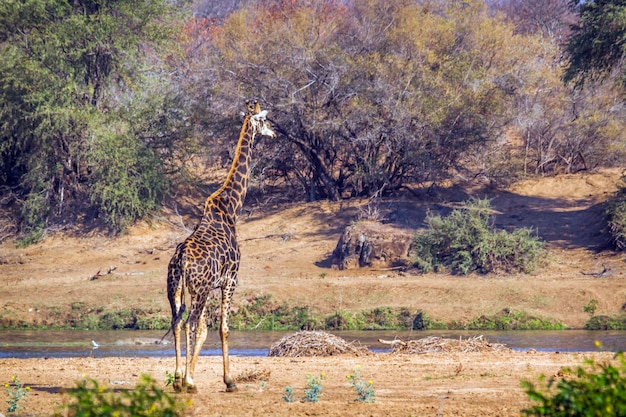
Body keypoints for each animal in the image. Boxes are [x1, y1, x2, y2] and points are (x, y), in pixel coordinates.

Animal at [167, 101, 274, 394]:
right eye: (264, 120)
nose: (273, 133)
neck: (231, 208)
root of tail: (181, 259)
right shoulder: (230, 280)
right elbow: (222, 329)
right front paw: (229, 381)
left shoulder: (212, 286)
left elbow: (205, 330)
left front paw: (191, 375)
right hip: (199, 289)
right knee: (189, 322)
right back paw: (188, 382)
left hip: (176, 289)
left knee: (177, 322)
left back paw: (178, 379)